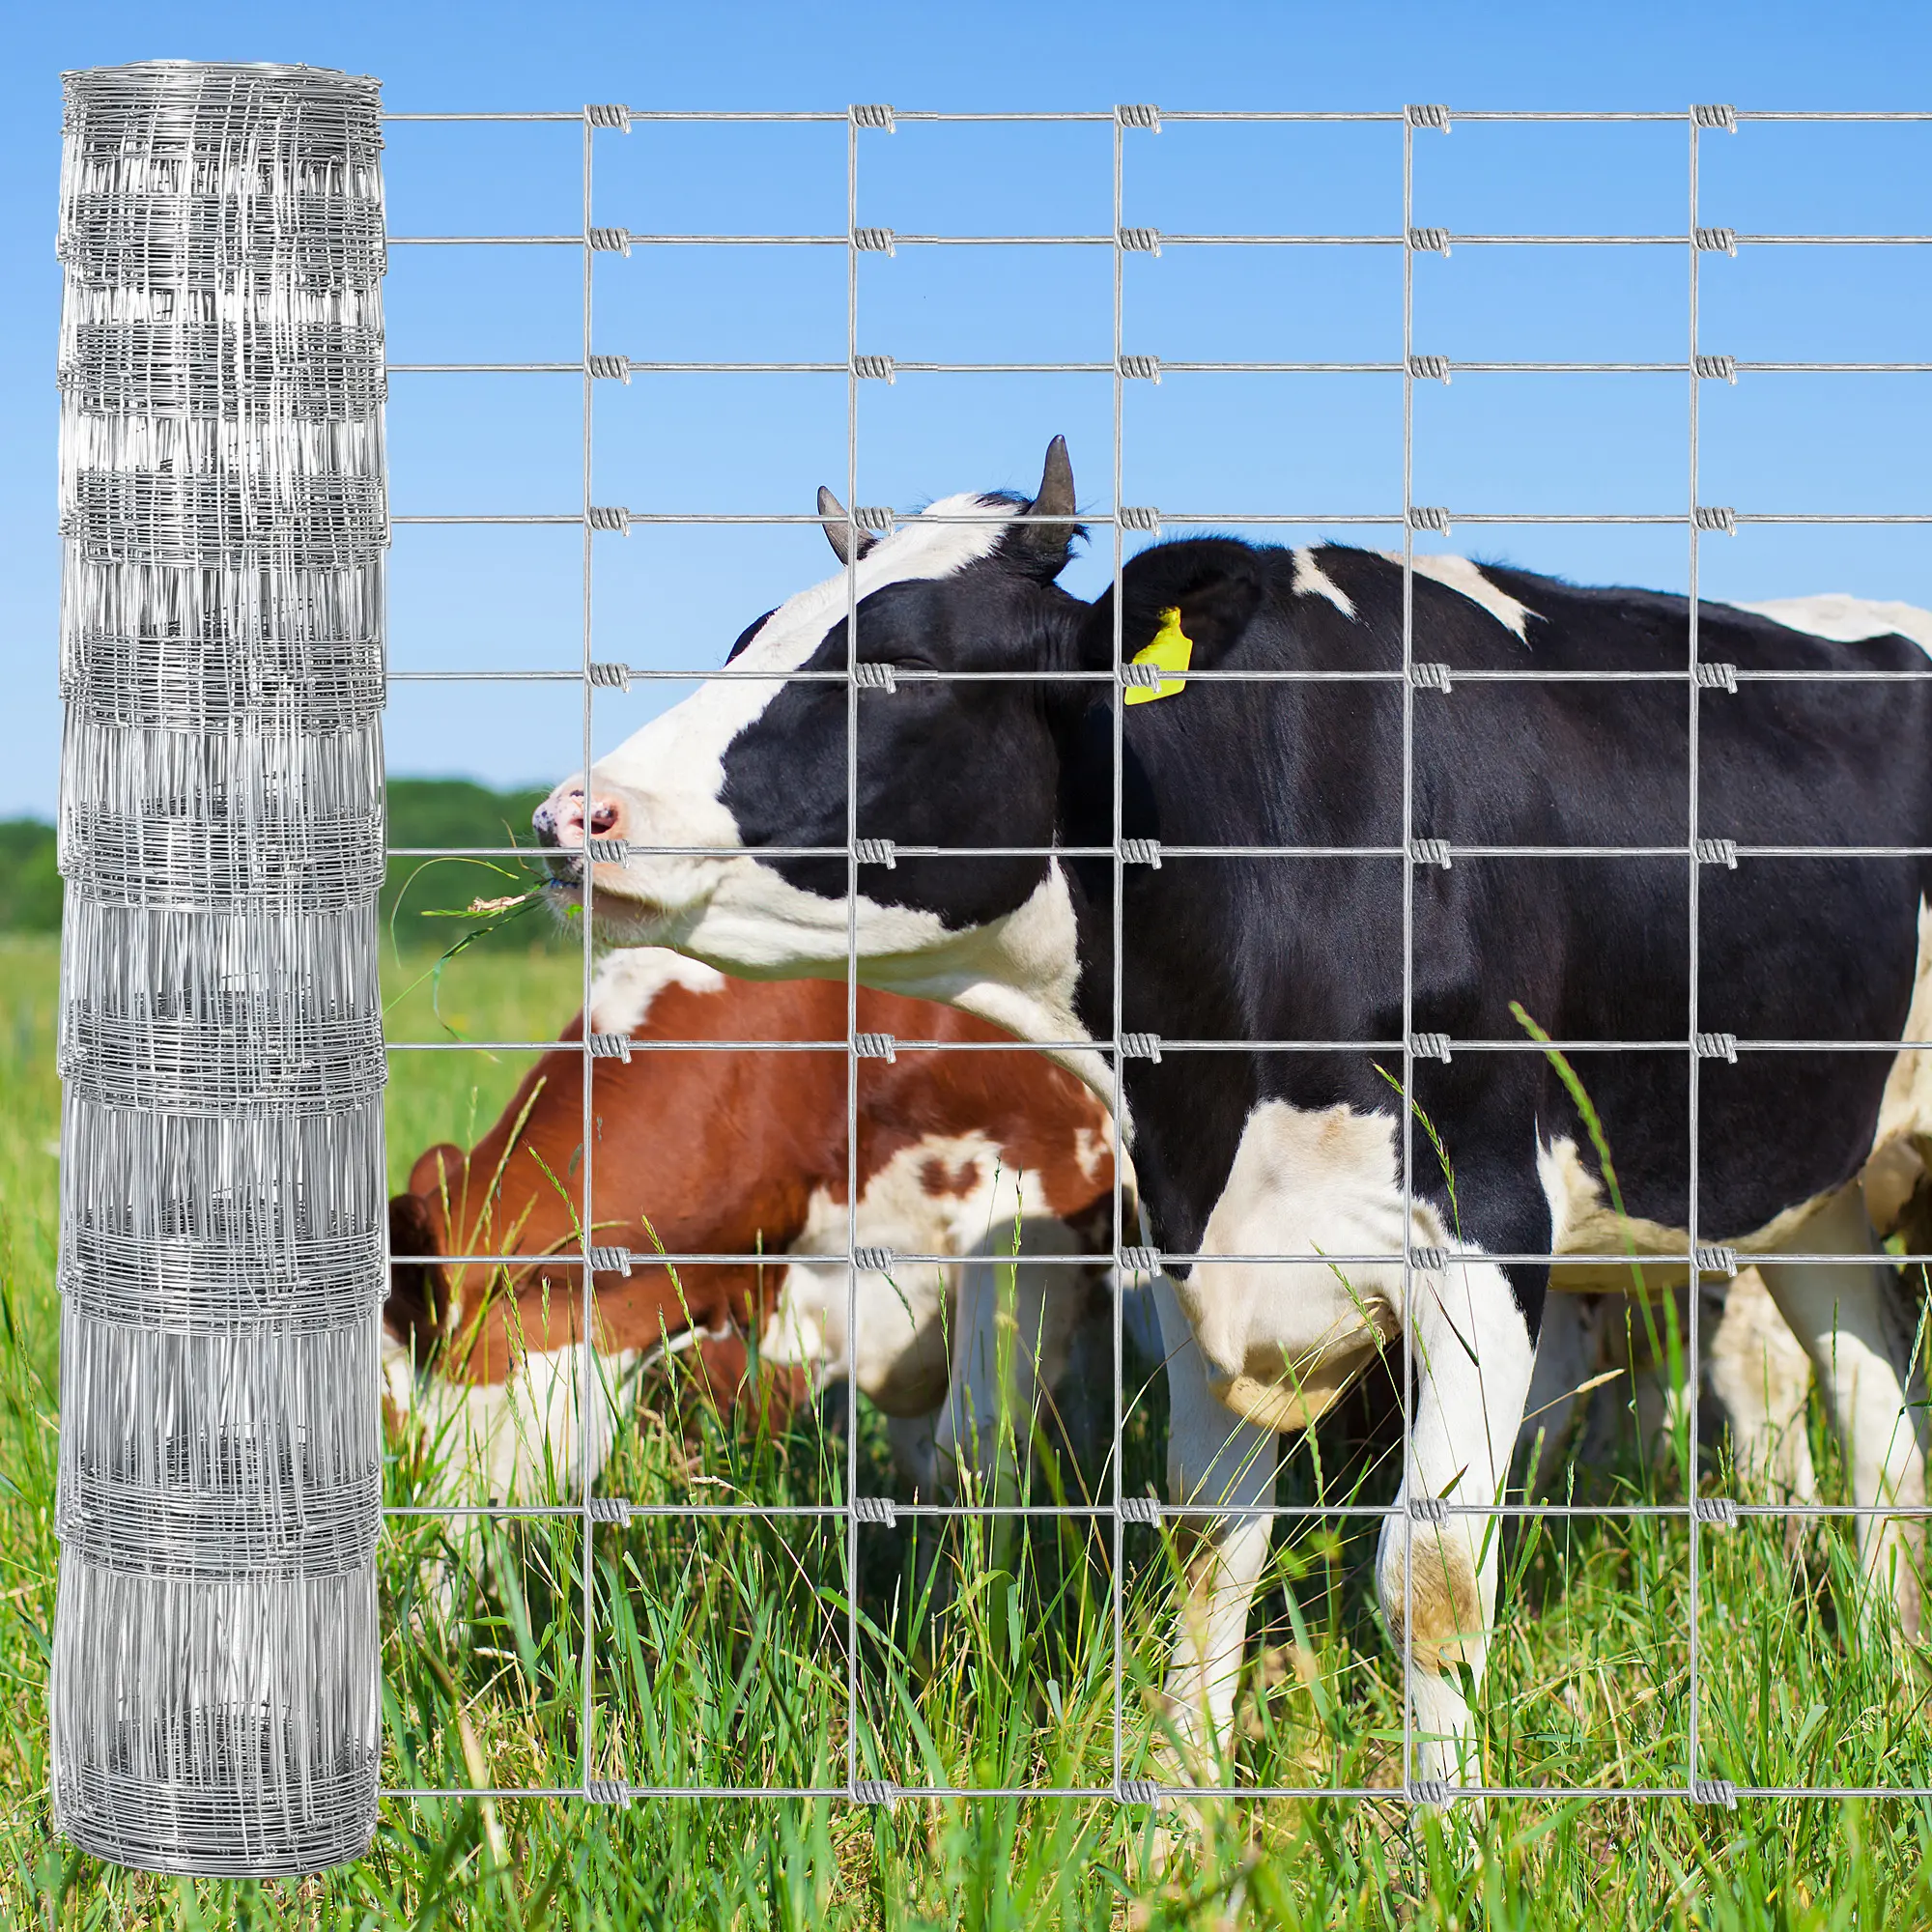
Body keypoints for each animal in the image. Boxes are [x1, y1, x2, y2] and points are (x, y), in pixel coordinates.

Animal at [531, 437, 1932, 1801]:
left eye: (902, 667)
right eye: (750, 635)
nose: (571, 815)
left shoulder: (1487, 1223)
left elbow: (1430, 1576)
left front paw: (1446, 1835)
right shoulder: (1187, 1235)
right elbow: (1210, 1543)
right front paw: (1180, 1813)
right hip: (1814, 1190)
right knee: (1875, 1422)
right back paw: (1893, 1660)